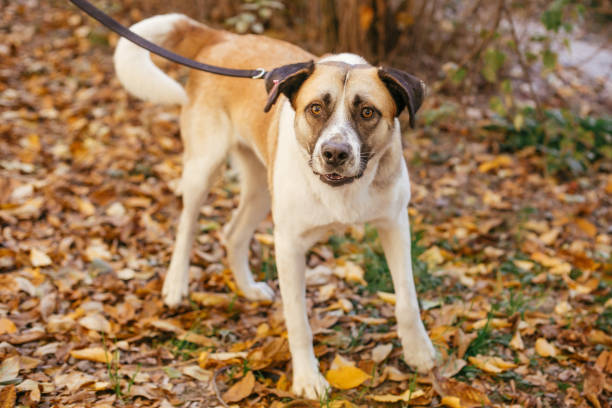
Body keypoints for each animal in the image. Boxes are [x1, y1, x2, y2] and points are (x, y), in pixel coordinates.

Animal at [112, 13, 438, 398]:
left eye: (368, 112)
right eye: (316, 108)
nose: (335, 153)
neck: (343, 189)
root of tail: (222, 37)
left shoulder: (395, 224)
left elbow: (407, 299)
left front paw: (419, 353)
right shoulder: (289, 245)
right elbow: (298, 320)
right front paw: (308, 379)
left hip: (261, 188)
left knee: (233, 233)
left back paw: (248, 288)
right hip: (204, 167)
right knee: (187, 222)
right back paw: (176, 284)